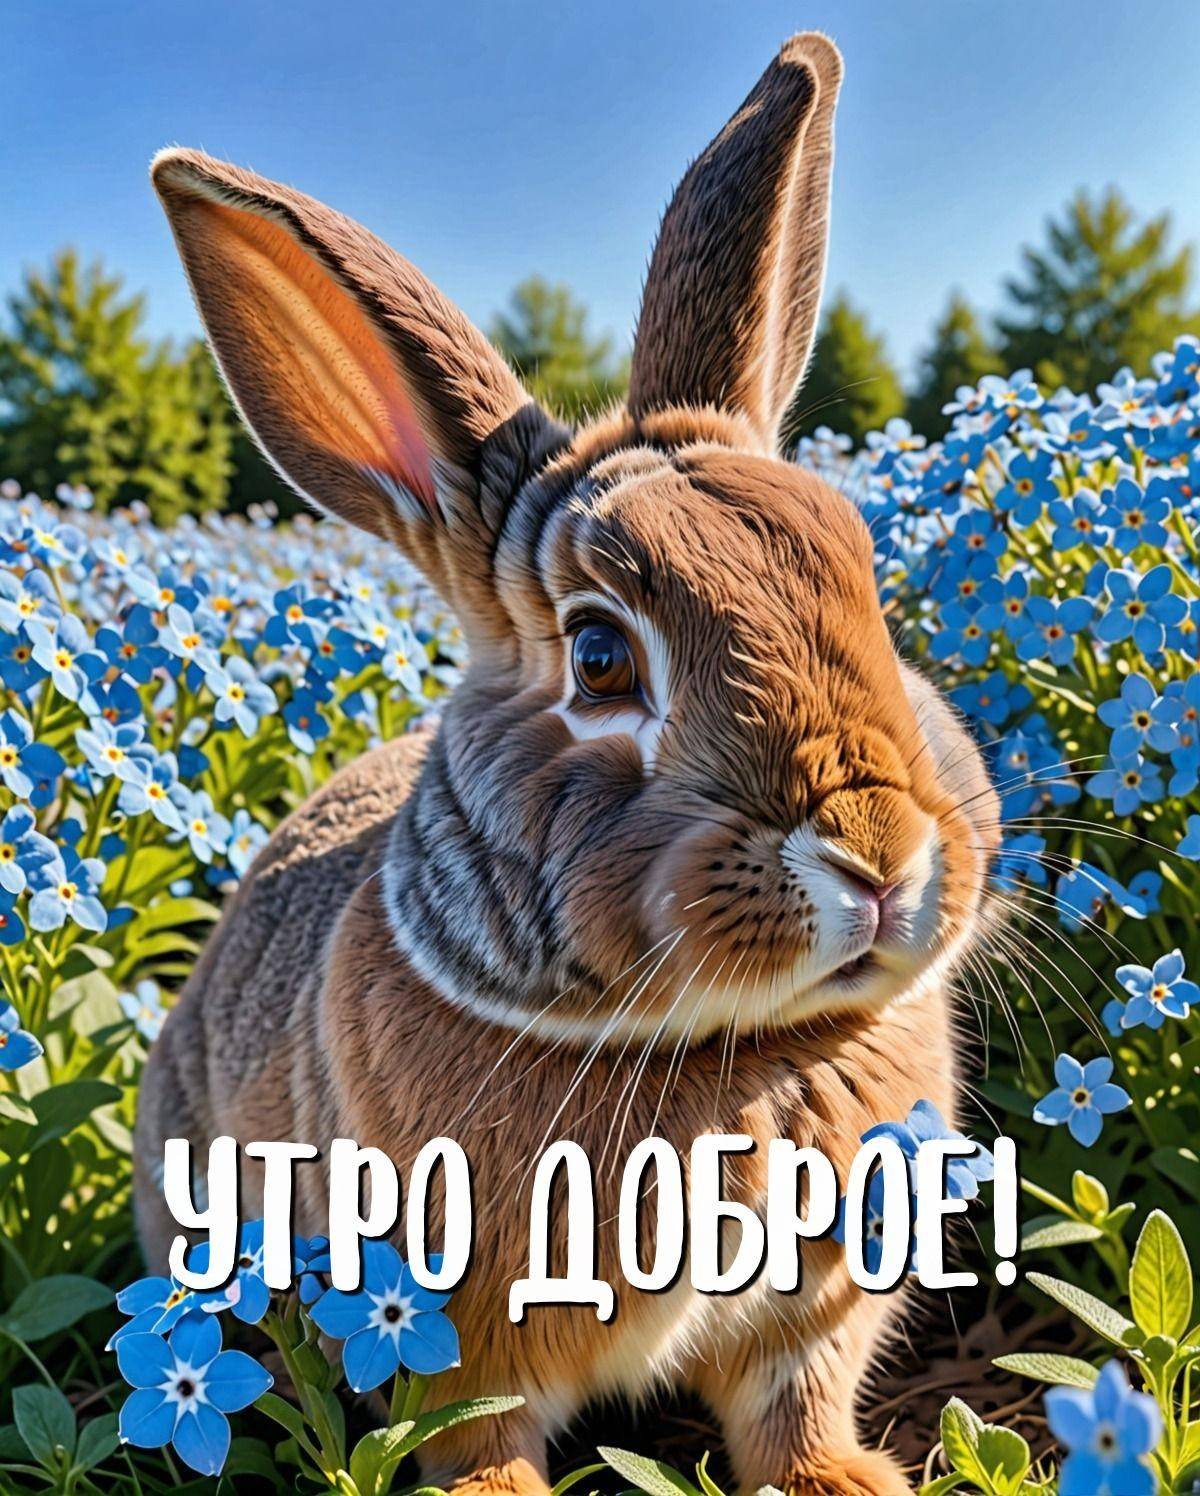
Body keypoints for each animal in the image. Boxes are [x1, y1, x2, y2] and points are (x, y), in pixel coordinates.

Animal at [135, 31, 1000, 1496]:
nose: (883, 859)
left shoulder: (813, 1313)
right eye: (600, 656)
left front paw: (844, 1478)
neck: (734, 1048)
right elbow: (473, 1436)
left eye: (873, 589)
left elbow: (796, 1406)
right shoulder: (450, 1329)